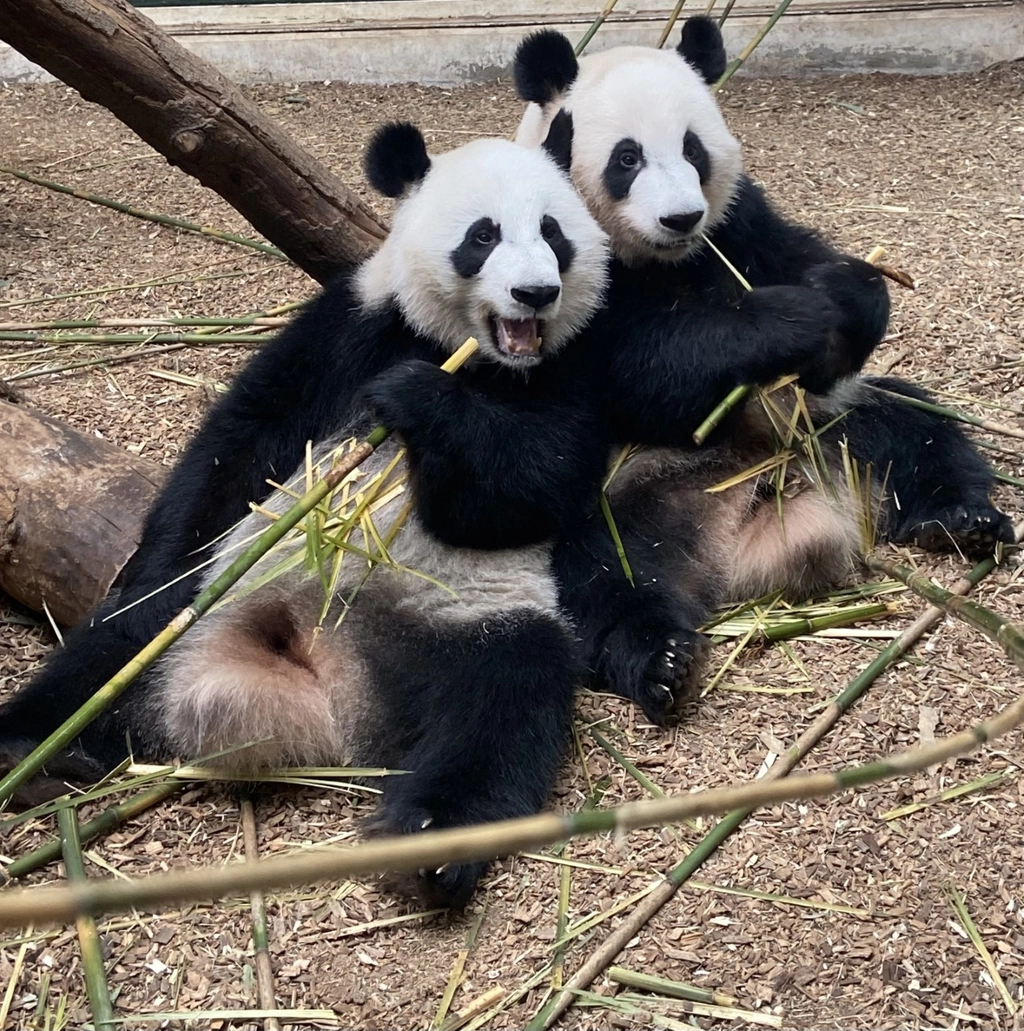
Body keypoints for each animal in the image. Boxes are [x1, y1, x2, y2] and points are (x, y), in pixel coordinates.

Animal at [0, 124, 606, 907]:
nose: (536, 293)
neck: (468, 352)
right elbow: (242, 442)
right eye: (484, 234)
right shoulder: (350, 323)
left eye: (554, 232)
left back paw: (428, 842)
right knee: (112, 650)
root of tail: (330, 681)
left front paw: (417, 400)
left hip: (473, 616)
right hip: (203, 611)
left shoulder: (576, 368)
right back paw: (32, 753)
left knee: (505, 699)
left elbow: (536, 475)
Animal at [507, 18, 1010, 725]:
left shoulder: (738, 219)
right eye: (627, 158)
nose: (681, 218)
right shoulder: (558, 266)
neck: (664, 259)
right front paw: (791, 320)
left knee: (917, 432)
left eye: (693, 149)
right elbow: (640, 367)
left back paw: (962, 520)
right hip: (613, 493)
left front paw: (844, 295)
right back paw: (661, 660)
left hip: (832, 426)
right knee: (596, 574)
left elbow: (795, 254)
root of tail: (744, 529)